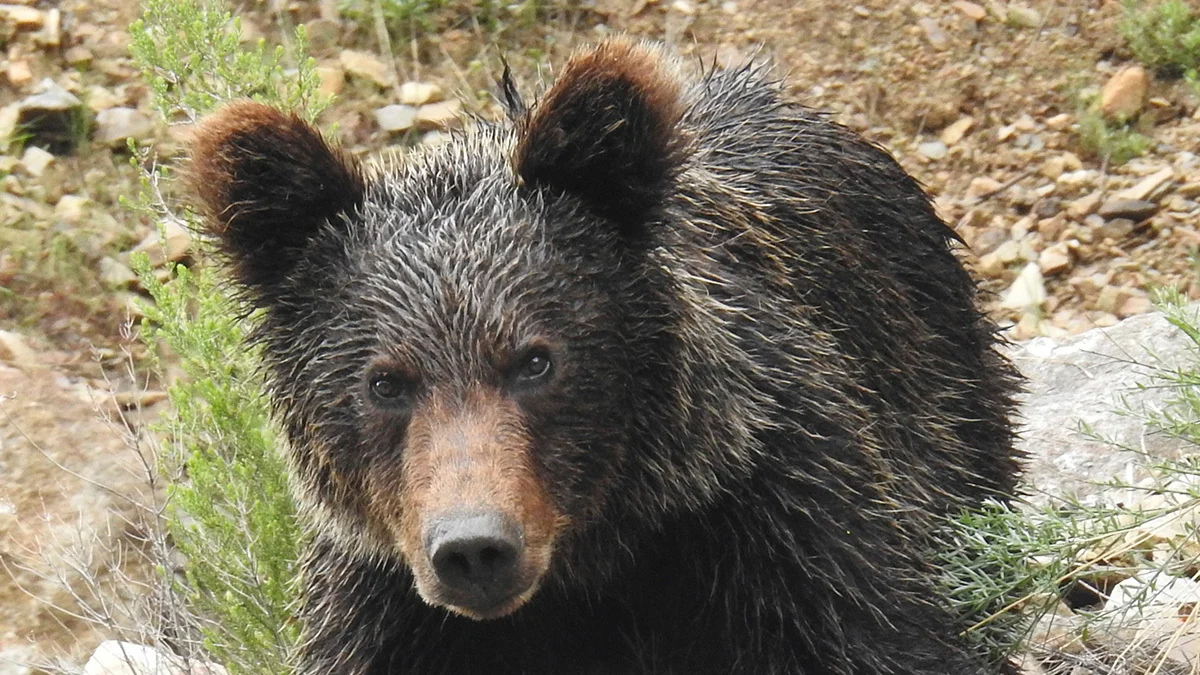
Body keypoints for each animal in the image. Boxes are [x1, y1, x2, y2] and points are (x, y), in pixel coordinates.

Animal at [187, 38, 1022, 675]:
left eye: (535, 359)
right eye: (384, 381)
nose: (474, 548)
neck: (591, 560)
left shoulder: (781, 525)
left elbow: (877, 633)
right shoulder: (388, 606)